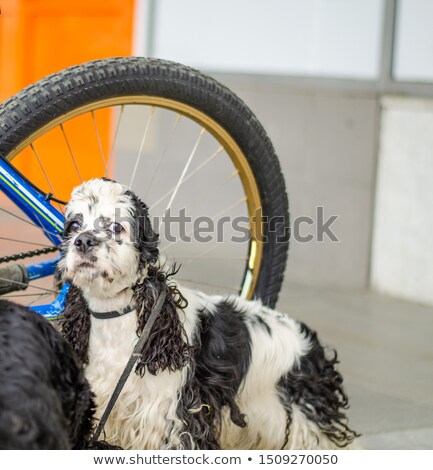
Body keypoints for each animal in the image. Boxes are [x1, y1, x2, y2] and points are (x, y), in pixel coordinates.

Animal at [59, 178, 360, 450]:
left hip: (308, 423)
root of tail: (309, 342)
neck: (118, 317)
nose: (83, 241)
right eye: (73, 226)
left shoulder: (177, 419)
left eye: (115, 226)